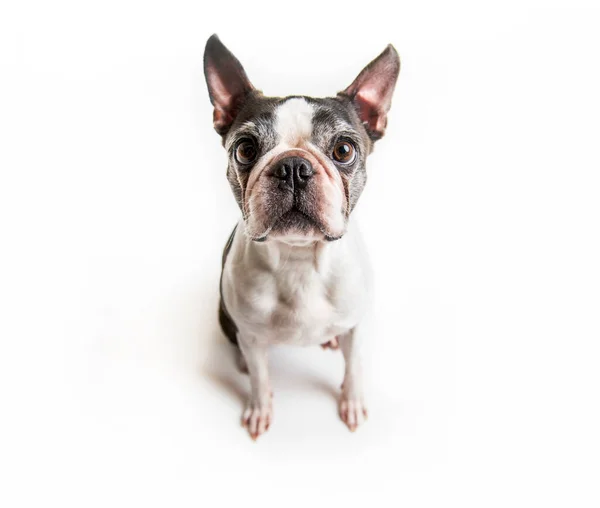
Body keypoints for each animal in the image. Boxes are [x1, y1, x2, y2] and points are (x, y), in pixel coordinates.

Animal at [203, 33, 398, 438]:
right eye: (245, 149)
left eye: (344, 149)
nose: (293, 166)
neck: (300, 260)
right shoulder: (252, 337)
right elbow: (260, 379)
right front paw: (260, 410)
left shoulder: (357, 329)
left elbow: (354, 368)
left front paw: (351, 404)